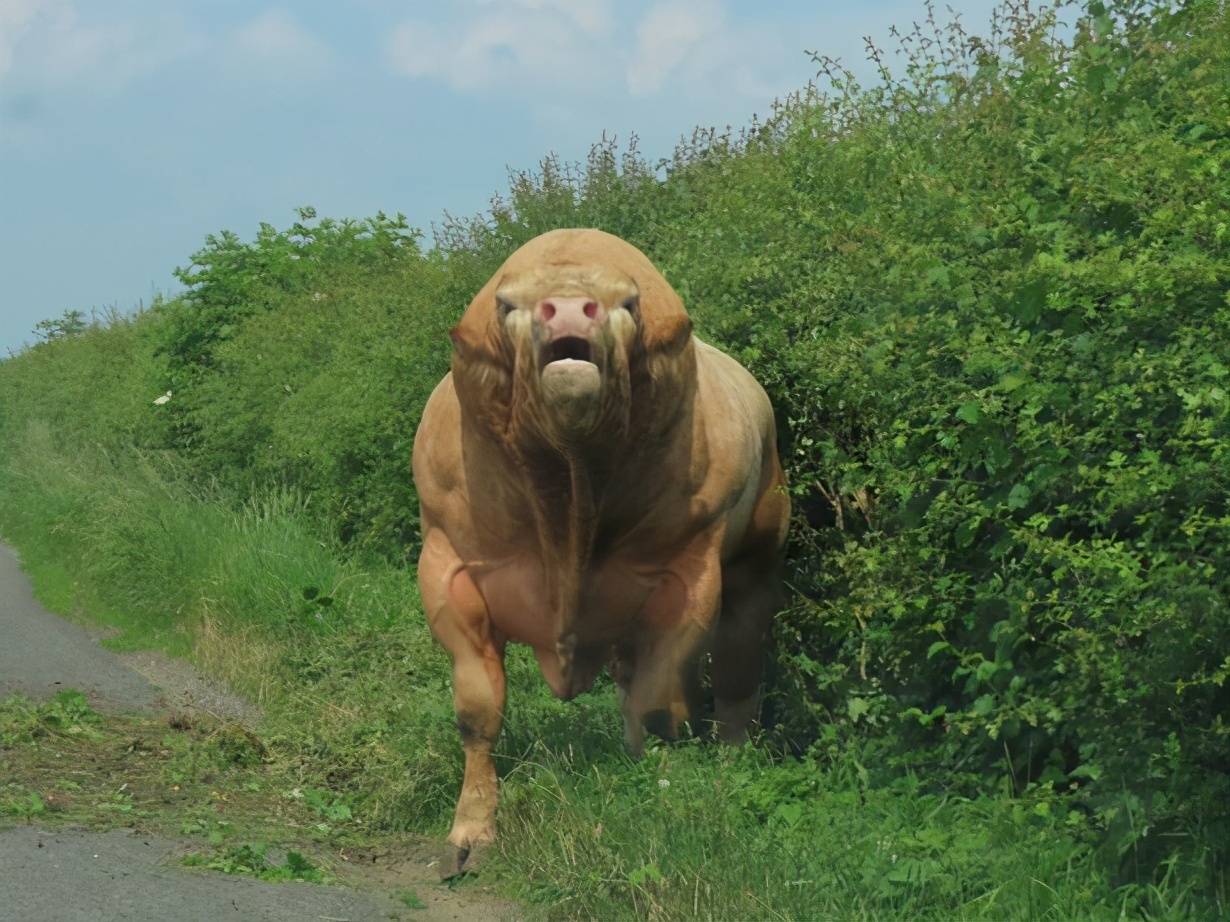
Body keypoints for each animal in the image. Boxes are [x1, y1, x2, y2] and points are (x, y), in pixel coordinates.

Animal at [413, 227, 787, 870]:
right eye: (506, 305)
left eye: (628, 303)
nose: (567, 309)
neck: (568, 487)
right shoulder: (448, 569)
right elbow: (478, 713)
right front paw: (469, 834)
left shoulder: (687, 576)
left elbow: (660, 703)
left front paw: (661, 799)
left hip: (755, 562)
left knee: (736, 671)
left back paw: (731, 758)